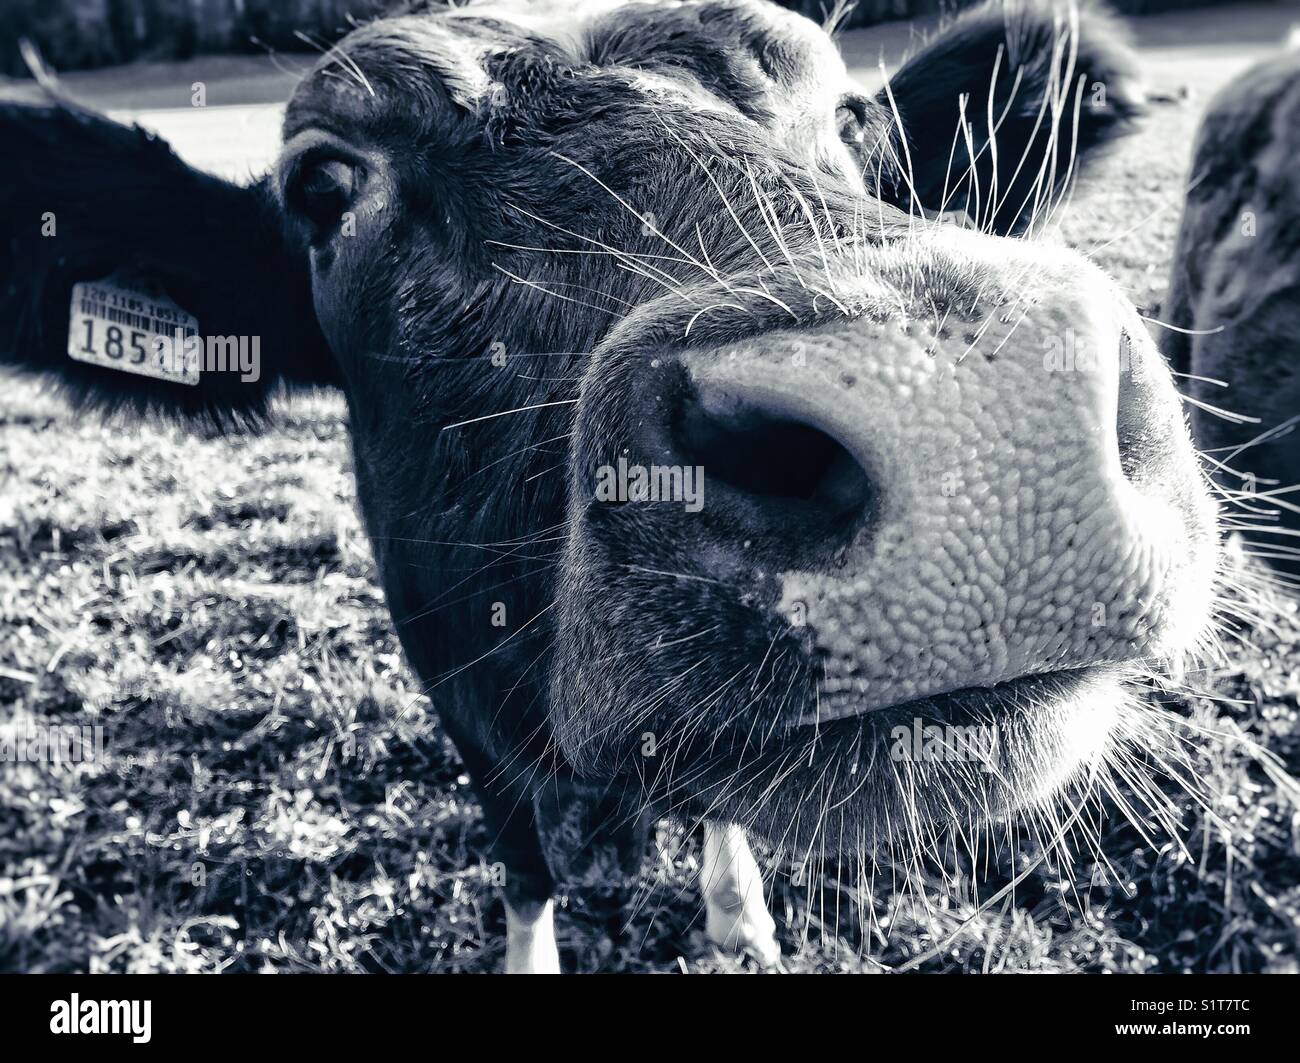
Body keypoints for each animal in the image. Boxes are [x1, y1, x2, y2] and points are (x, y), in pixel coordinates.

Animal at [1, 0, 1222, 972]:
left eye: (848, 119)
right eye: (324, 183)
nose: (966, 409)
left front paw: (739, 917)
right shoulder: (460, 703)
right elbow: (523, 864)